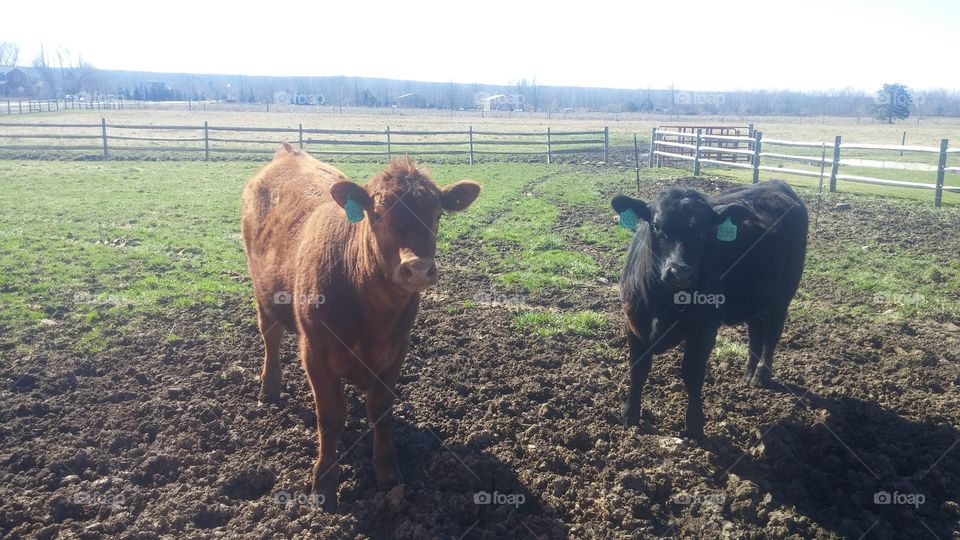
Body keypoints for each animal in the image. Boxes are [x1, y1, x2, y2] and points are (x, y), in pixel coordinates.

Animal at [241, 143, 481, 509]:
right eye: (377, 214)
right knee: (270, 335)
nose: (418, 267)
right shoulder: (314, 351)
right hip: (262, 291)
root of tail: (288, 152)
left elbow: (381, 410)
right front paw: (324, 484)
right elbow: (330, 416)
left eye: (438, 215)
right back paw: (269, 388)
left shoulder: (396, 349)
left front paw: (387, 471)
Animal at [611, 180, 807, 439]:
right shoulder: (633, 322)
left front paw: (695, 425)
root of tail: (778, 184)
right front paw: (630, 416)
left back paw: (760, 375)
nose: (680, 272)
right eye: (657, 225)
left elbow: (692, 373)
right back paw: (747, 373)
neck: (664, 302)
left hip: (782, 296)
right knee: (755, 330)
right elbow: (638, 370)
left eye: (704, 230)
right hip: (753, 299)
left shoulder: (704, 329)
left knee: (772, 335)